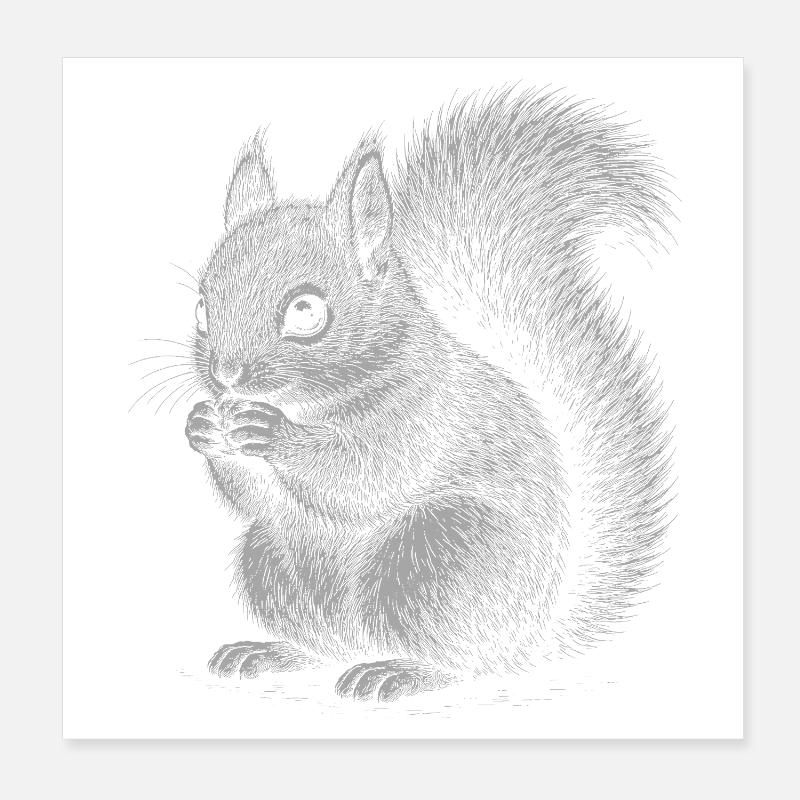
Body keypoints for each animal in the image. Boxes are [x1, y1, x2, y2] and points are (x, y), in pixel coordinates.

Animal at [183, 87, 673, 702]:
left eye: (306, 310)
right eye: (202, 309)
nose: (226, 377)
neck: (316, 400)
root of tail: (525, 643)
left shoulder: (427, 411)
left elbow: (368, 474)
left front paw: (272, 433)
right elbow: (257, 500)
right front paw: (203, 425)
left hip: (441, 558)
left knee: (457, 663)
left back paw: (400, 670)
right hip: (273, 564)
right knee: (328, 647)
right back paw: (272, 651)